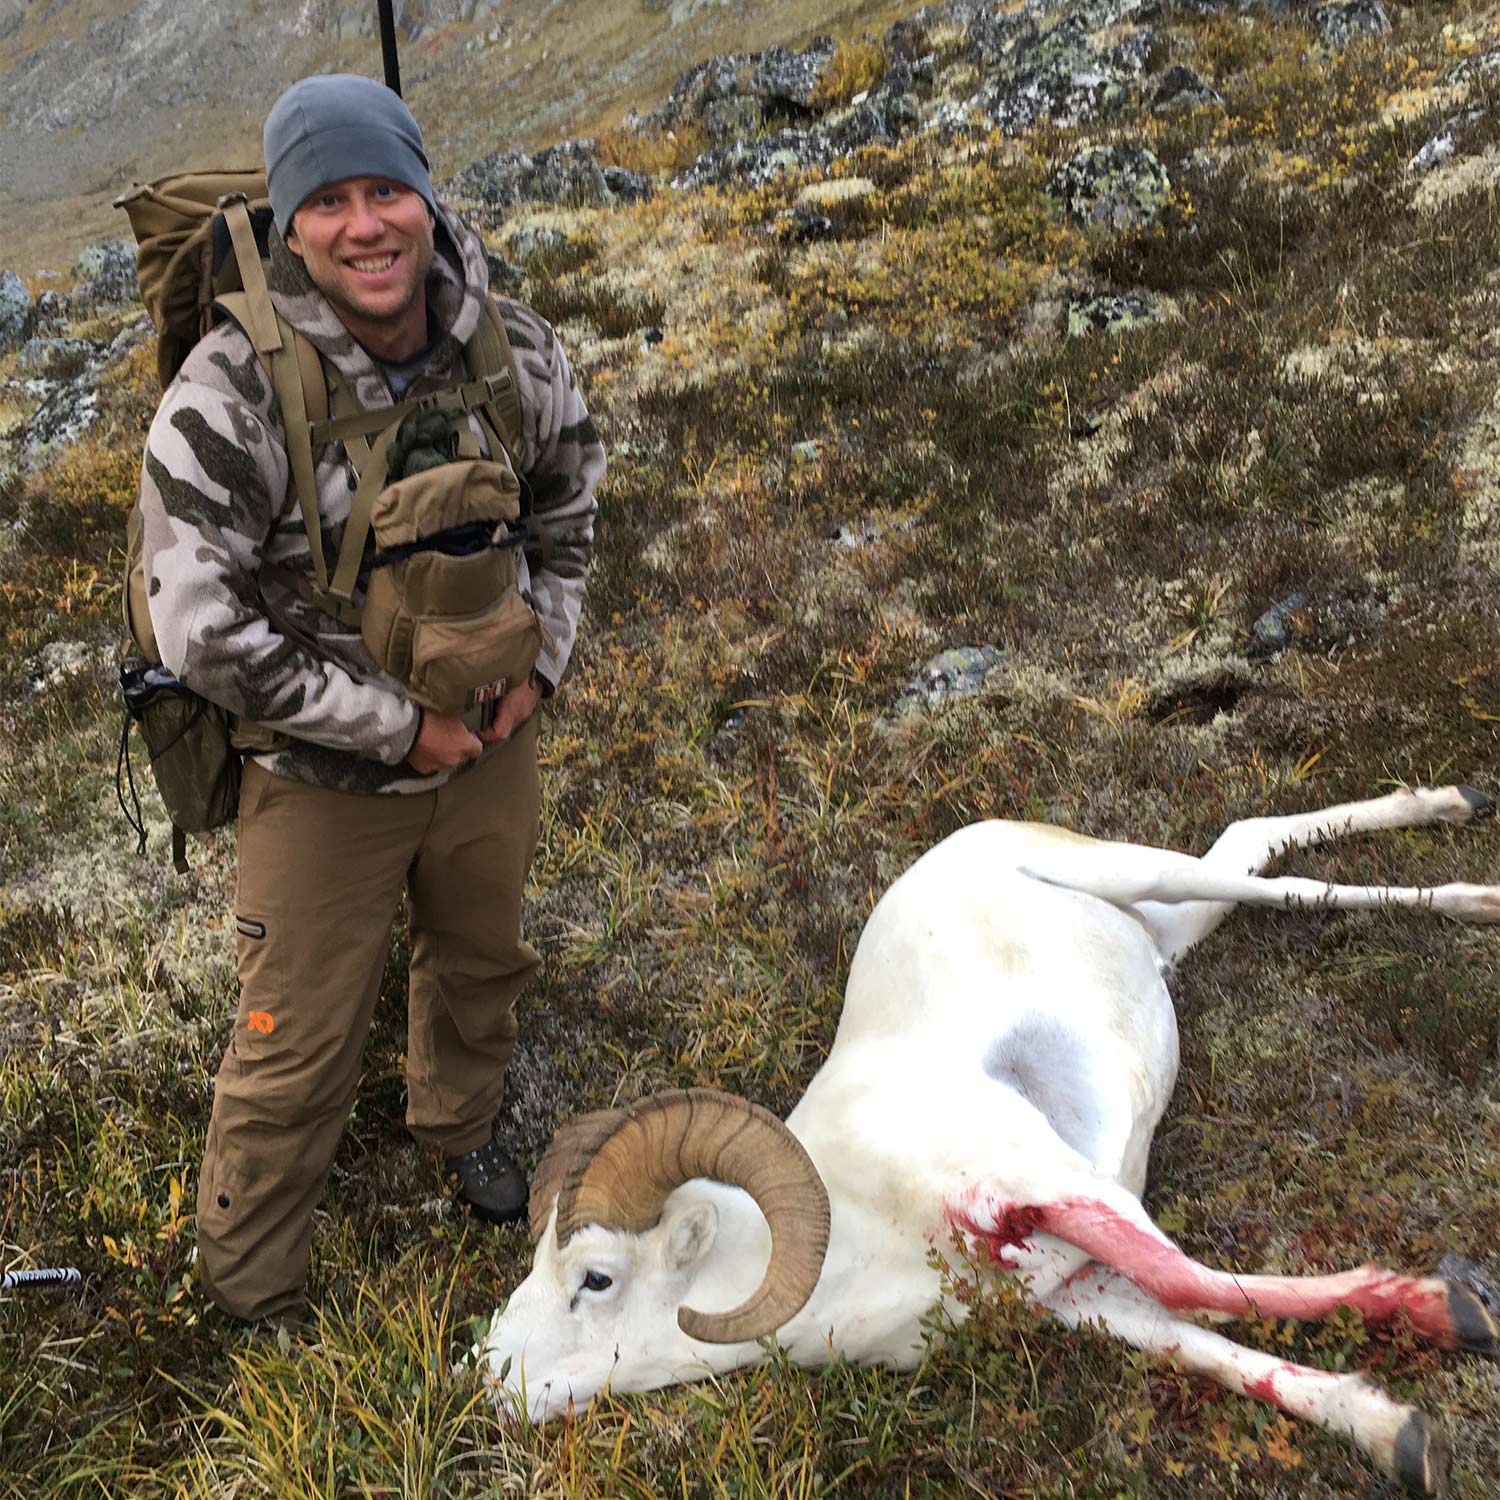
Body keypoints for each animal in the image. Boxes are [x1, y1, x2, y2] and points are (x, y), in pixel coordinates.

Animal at [480, 786, 1499, 1497]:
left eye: (595, 1280)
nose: (487, 1376)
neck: (859, 1246)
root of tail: (971, 838)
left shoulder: (1059, 1186)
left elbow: (1191, 1283)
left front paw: (1455, 1312)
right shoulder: (1076, 1292)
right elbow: (1207, 1343)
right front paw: (1398, 1434)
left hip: (1143, 876)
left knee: (1277, 876)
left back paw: (1469, 875)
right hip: (1167, 926)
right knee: (1255, 842)